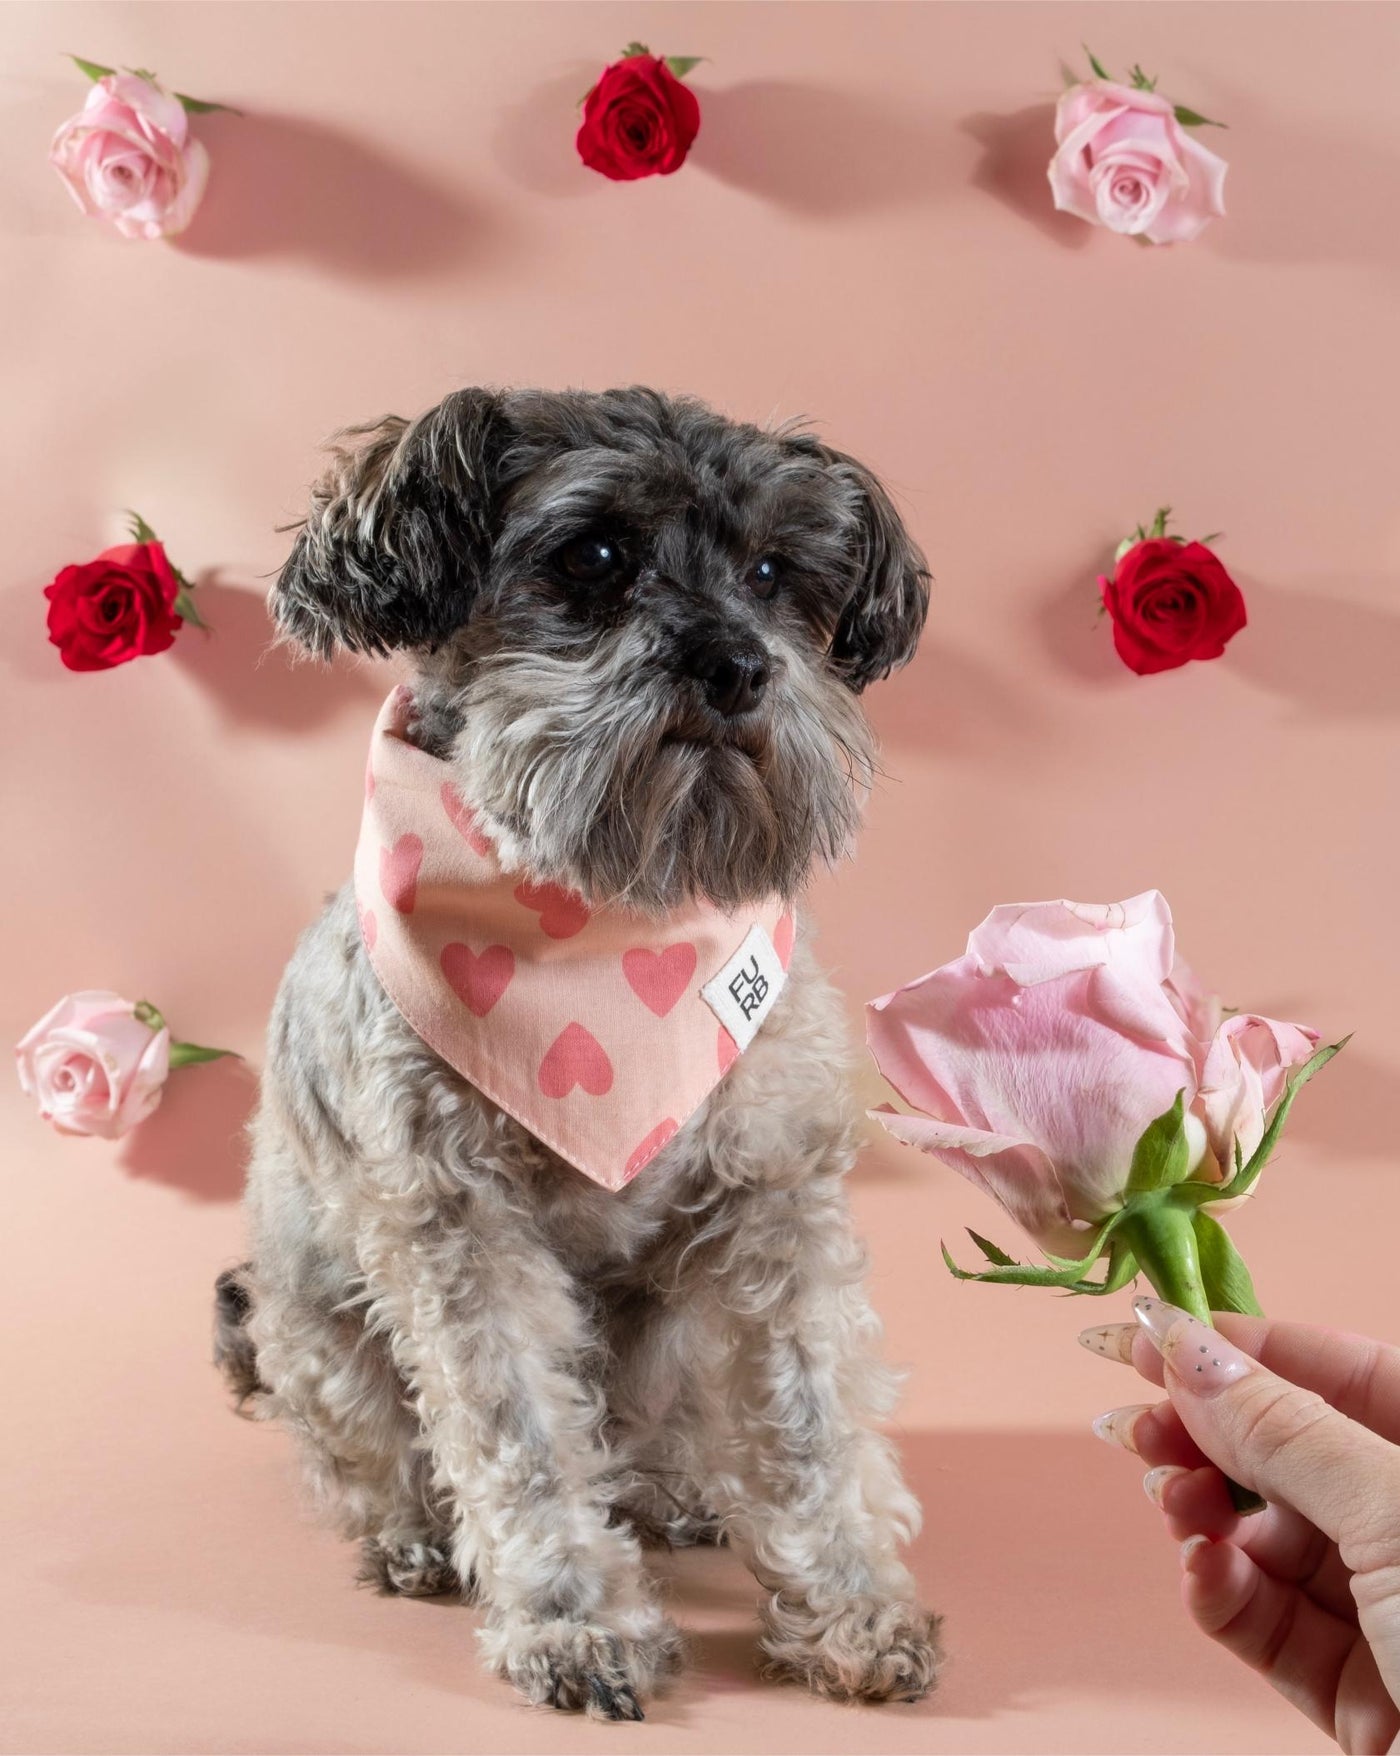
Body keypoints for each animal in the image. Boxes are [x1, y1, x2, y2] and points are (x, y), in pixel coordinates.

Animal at [218, 384, 941, 1713]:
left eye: (772, 572)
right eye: (594, 556)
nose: (737, 663)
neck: (606, 918)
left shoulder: (775, 1199)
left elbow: (813, 1416)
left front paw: (851, 1607)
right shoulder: (456, 1227)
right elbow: (517, 1434)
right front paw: (572, 1620)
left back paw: (672, 1489)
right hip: (316, 1323)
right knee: (364, 1450)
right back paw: (406, 1533)